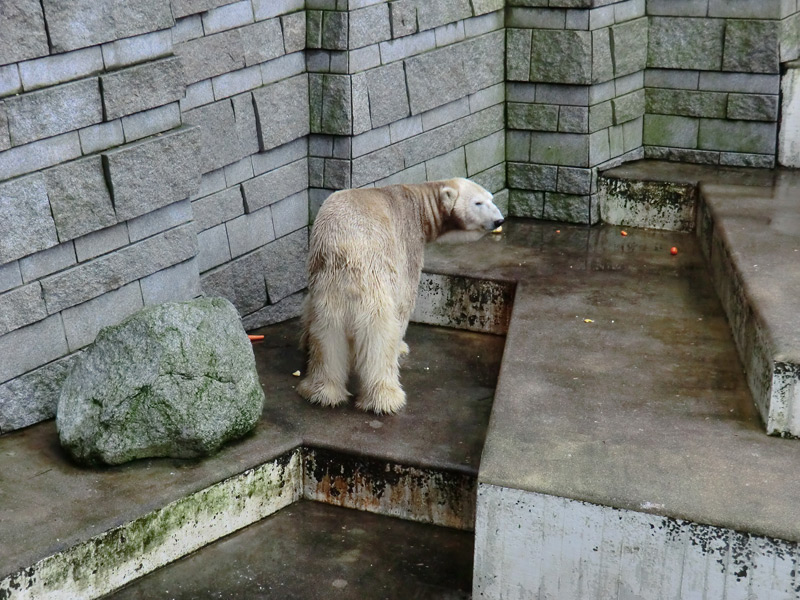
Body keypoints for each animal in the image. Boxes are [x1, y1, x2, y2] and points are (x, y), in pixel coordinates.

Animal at [296, 176, 504, 414]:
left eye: (491, 198)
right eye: (478, 203)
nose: (499, 220)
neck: (419, 202)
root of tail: (348, 262)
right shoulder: (407, 239)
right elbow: (405, 299)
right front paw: (402, 347)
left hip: (329, 296)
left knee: (327, 340)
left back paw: (322, 393)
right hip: (373, 294)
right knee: (380, 343)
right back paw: (385, 398)